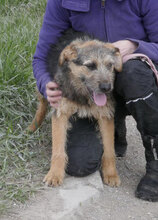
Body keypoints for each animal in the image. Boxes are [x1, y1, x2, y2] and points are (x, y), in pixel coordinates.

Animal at [28, 28, 122, 187]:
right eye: (90, 65)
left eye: (110, 65)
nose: (106, 87)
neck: (82, 95)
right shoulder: (60, 112)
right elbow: (58, 150)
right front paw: (54, 174)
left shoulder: (105, 115)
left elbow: (109, 150)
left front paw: (111, 174)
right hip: (44, 89)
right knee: (42, 105)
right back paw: (32, 127)